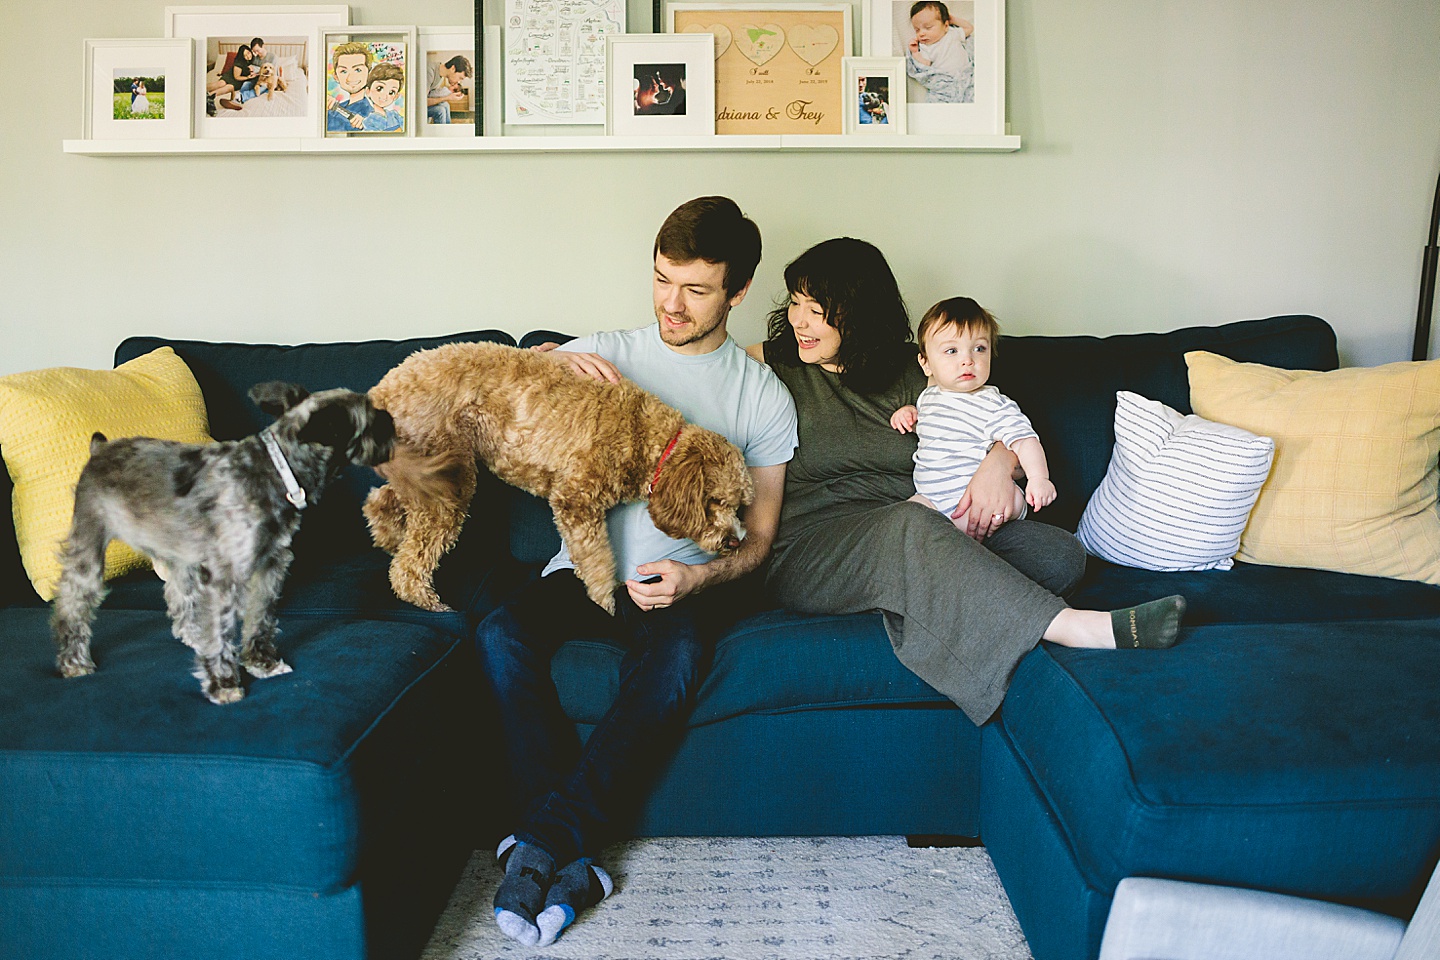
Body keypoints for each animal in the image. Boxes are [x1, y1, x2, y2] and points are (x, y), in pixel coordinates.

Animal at [51, 382, 397, 705]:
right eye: (373, 418)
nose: (393, 421)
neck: (278, 470)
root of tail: (99, 450)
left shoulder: (270, 566)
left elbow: (260, 618)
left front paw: (262, 663)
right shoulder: (225, 576)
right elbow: (221, 629)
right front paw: (224, 684)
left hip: (181, 552)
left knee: (177, 594)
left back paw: (193, 635)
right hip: (89, 547)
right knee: (72, 602)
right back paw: (74, 661)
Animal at [365, 345, 754, 613]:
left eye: (739, 506)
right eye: (715, 501)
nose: (734, 541)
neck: (652, 441)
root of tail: (382, 390)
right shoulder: (576, 501)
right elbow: (599, 561)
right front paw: (605, 604)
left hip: (429, 471)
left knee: (379, 501)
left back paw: (387, 538)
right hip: (447, 477)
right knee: (408, 564)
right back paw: (427, 601)